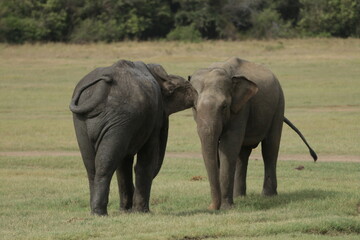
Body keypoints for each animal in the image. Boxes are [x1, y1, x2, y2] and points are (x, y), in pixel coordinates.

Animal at [70, 60, 197, 216]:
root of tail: (100, 89)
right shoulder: (149, 122)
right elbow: (145, 160)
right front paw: (141, 212)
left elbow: (124, 165)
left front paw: (126, 211)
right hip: (119, 117)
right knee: (106, 164)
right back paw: (100, 213)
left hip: (83, 122)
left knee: (91, 166)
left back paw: (95, 212)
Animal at [190, 56, 316, 210]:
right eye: (194, 107)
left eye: (224, 106)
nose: (211, 207)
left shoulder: (241, 108)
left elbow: (228, 146)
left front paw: (227, 208)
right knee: (243, 155)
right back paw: (240, 196)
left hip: (279, 105)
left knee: (270, 149)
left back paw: (268, 196)